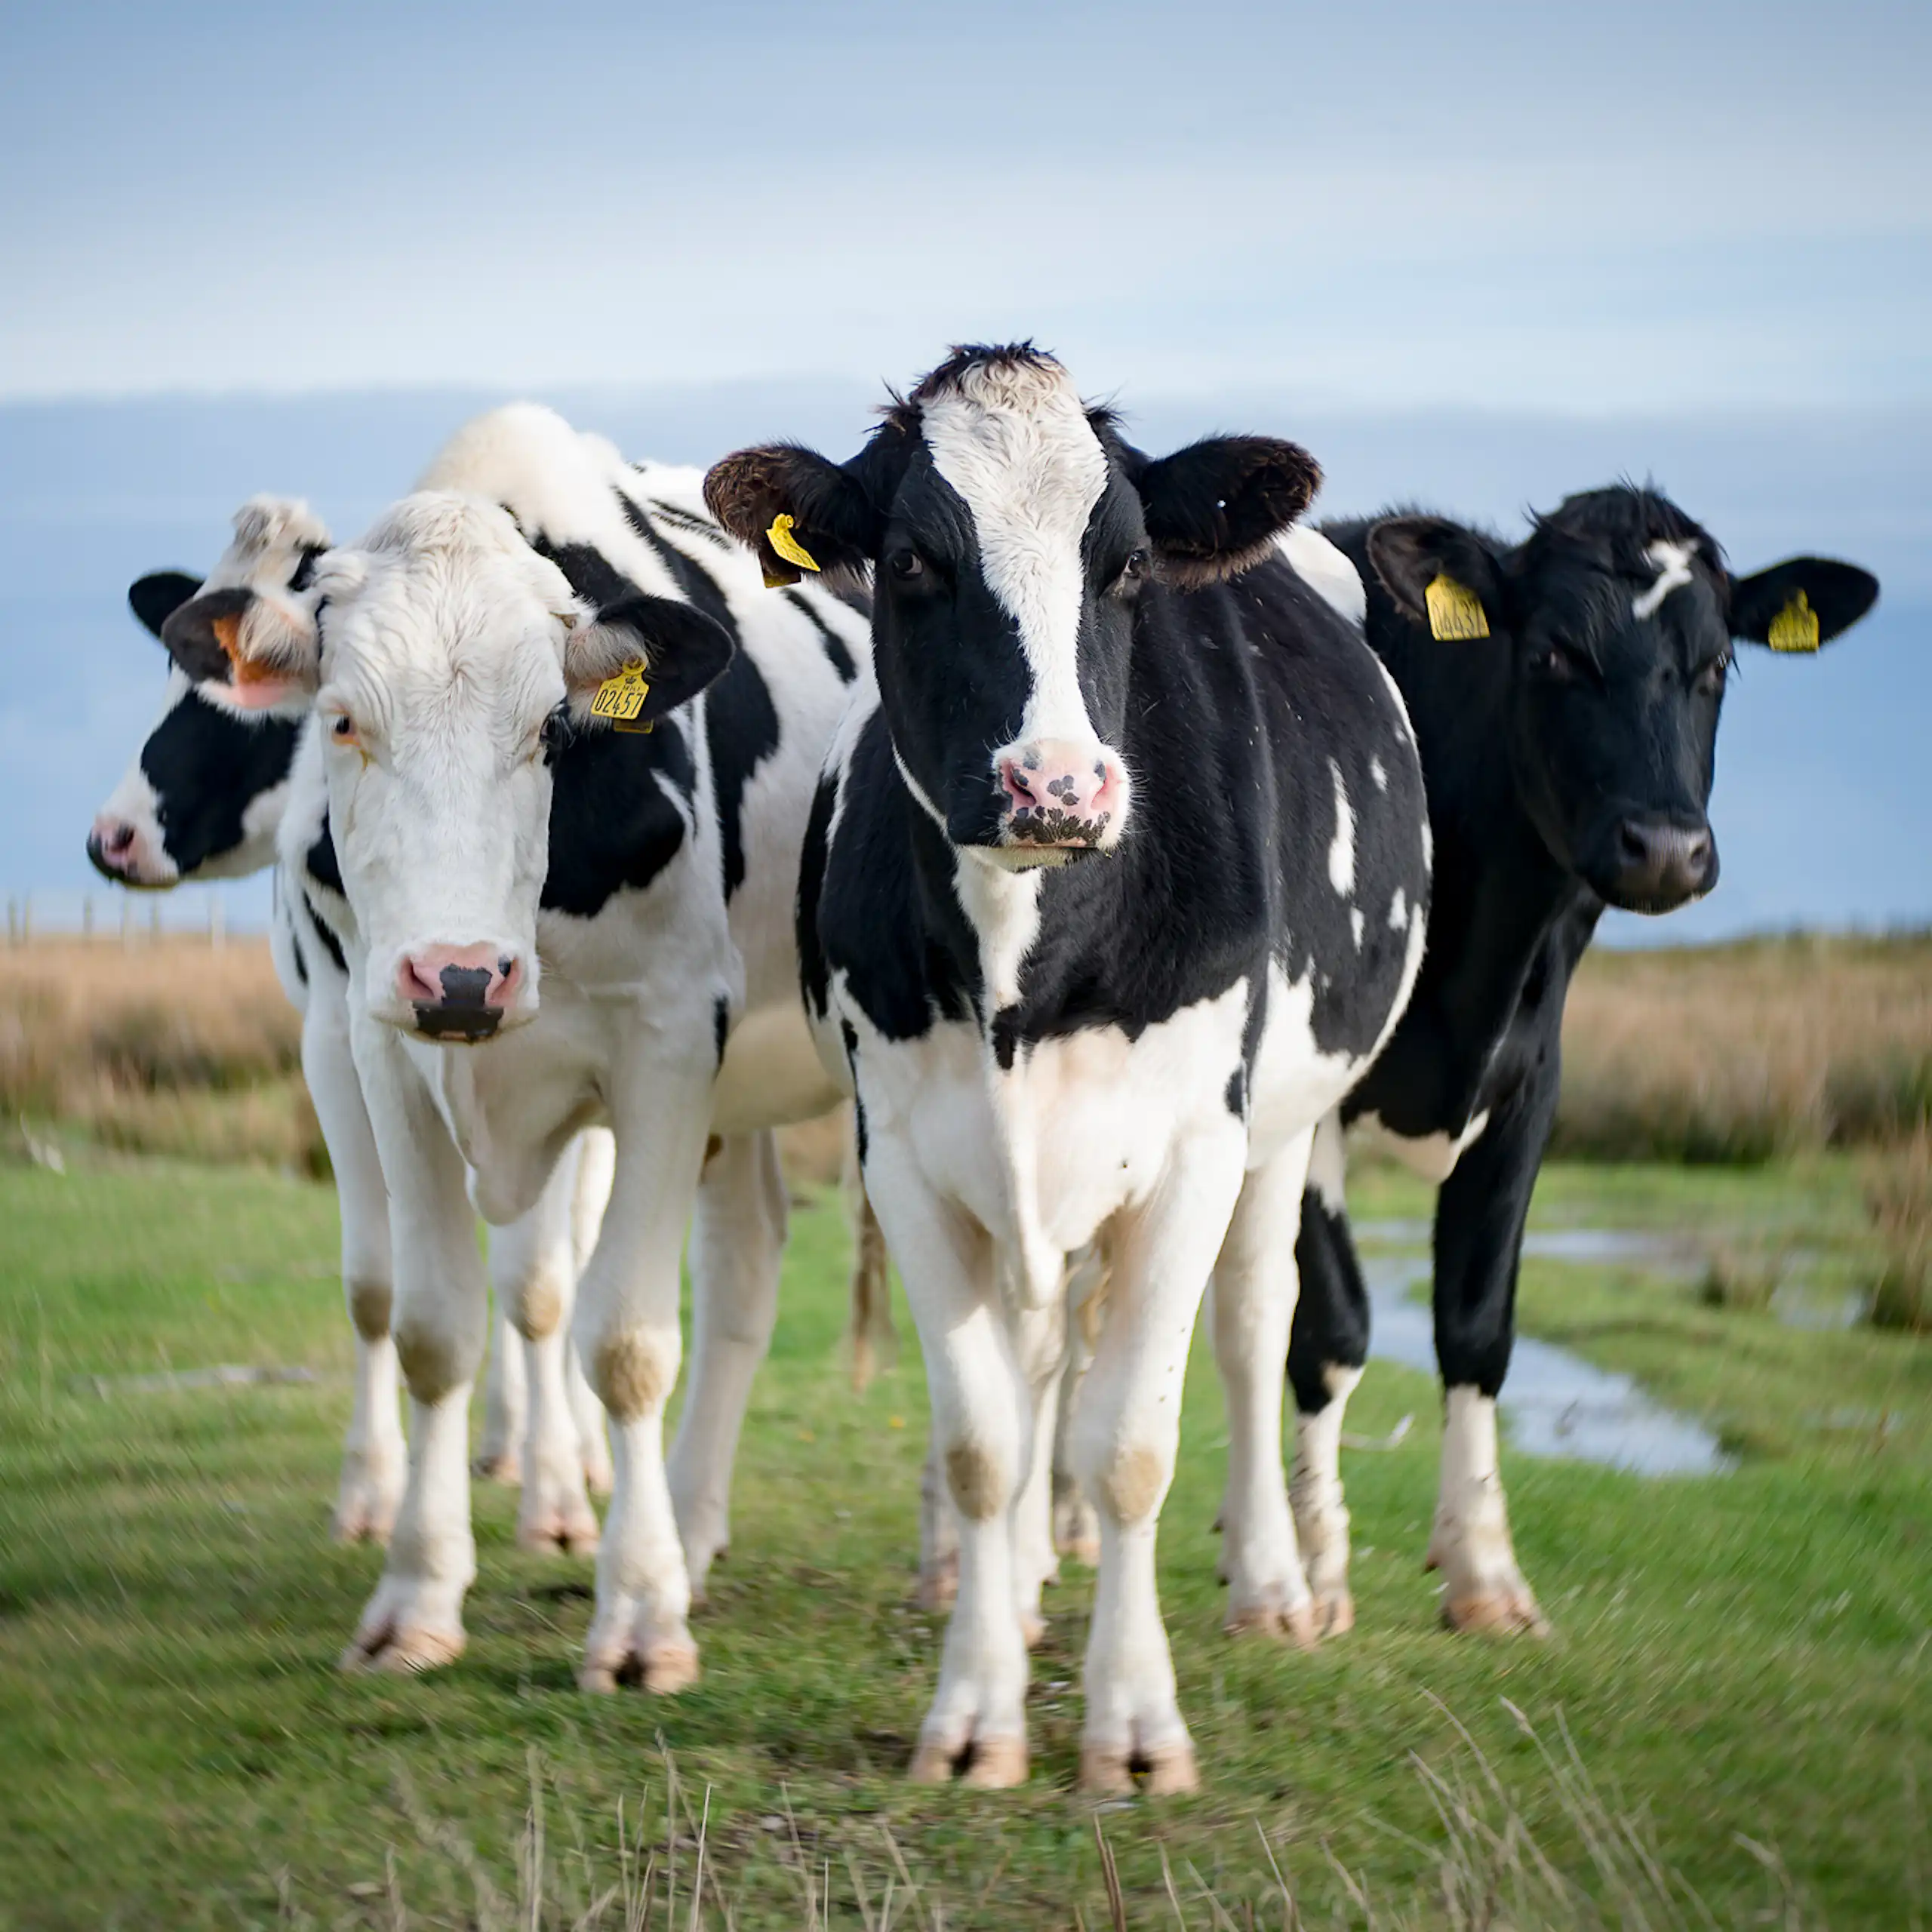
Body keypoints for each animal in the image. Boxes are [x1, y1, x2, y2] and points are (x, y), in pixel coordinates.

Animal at [89, 544, 614, 1542]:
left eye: (245, 713)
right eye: (176, 678)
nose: (114, 837)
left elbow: (538, 1278)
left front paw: (557, 1490)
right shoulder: (333, 1043)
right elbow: (379, 1280)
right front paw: (376, 1489)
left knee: (568, 1250)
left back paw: (572, 1446)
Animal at [156, 405, 872, 1687]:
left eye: (551, 727)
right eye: (341, 720)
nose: (460, 971)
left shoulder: (668, 1050)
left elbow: (623, 1339)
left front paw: (638, 1618)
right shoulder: (379, 1049)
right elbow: (432, 1325)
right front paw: (416, 1593)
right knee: (749, 1267)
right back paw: (697, 1529)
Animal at [704, 344, 1432, 1791]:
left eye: (1130, 563)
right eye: (912, 560)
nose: (1055, 786)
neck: (1021, 963)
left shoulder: (1196, 1148)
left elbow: (1134, 1446)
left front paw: (1136, 1728)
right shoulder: (908, 1154)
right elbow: (986, 1441)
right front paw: (976, 1710)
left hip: (1275, 1141)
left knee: (1254, 1324)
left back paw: (1274, 1584)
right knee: (1045, 1354)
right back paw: (1036, 1577)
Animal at [1281, 487, 1879, 1636]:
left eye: (1716, 664)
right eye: (1555, 654)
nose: (1665, 848)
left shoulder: (1529, 1090)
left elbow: (1476, 1325)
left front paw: (1484, 1573)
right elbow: (1332, 1325)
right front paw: (1318, 1576)